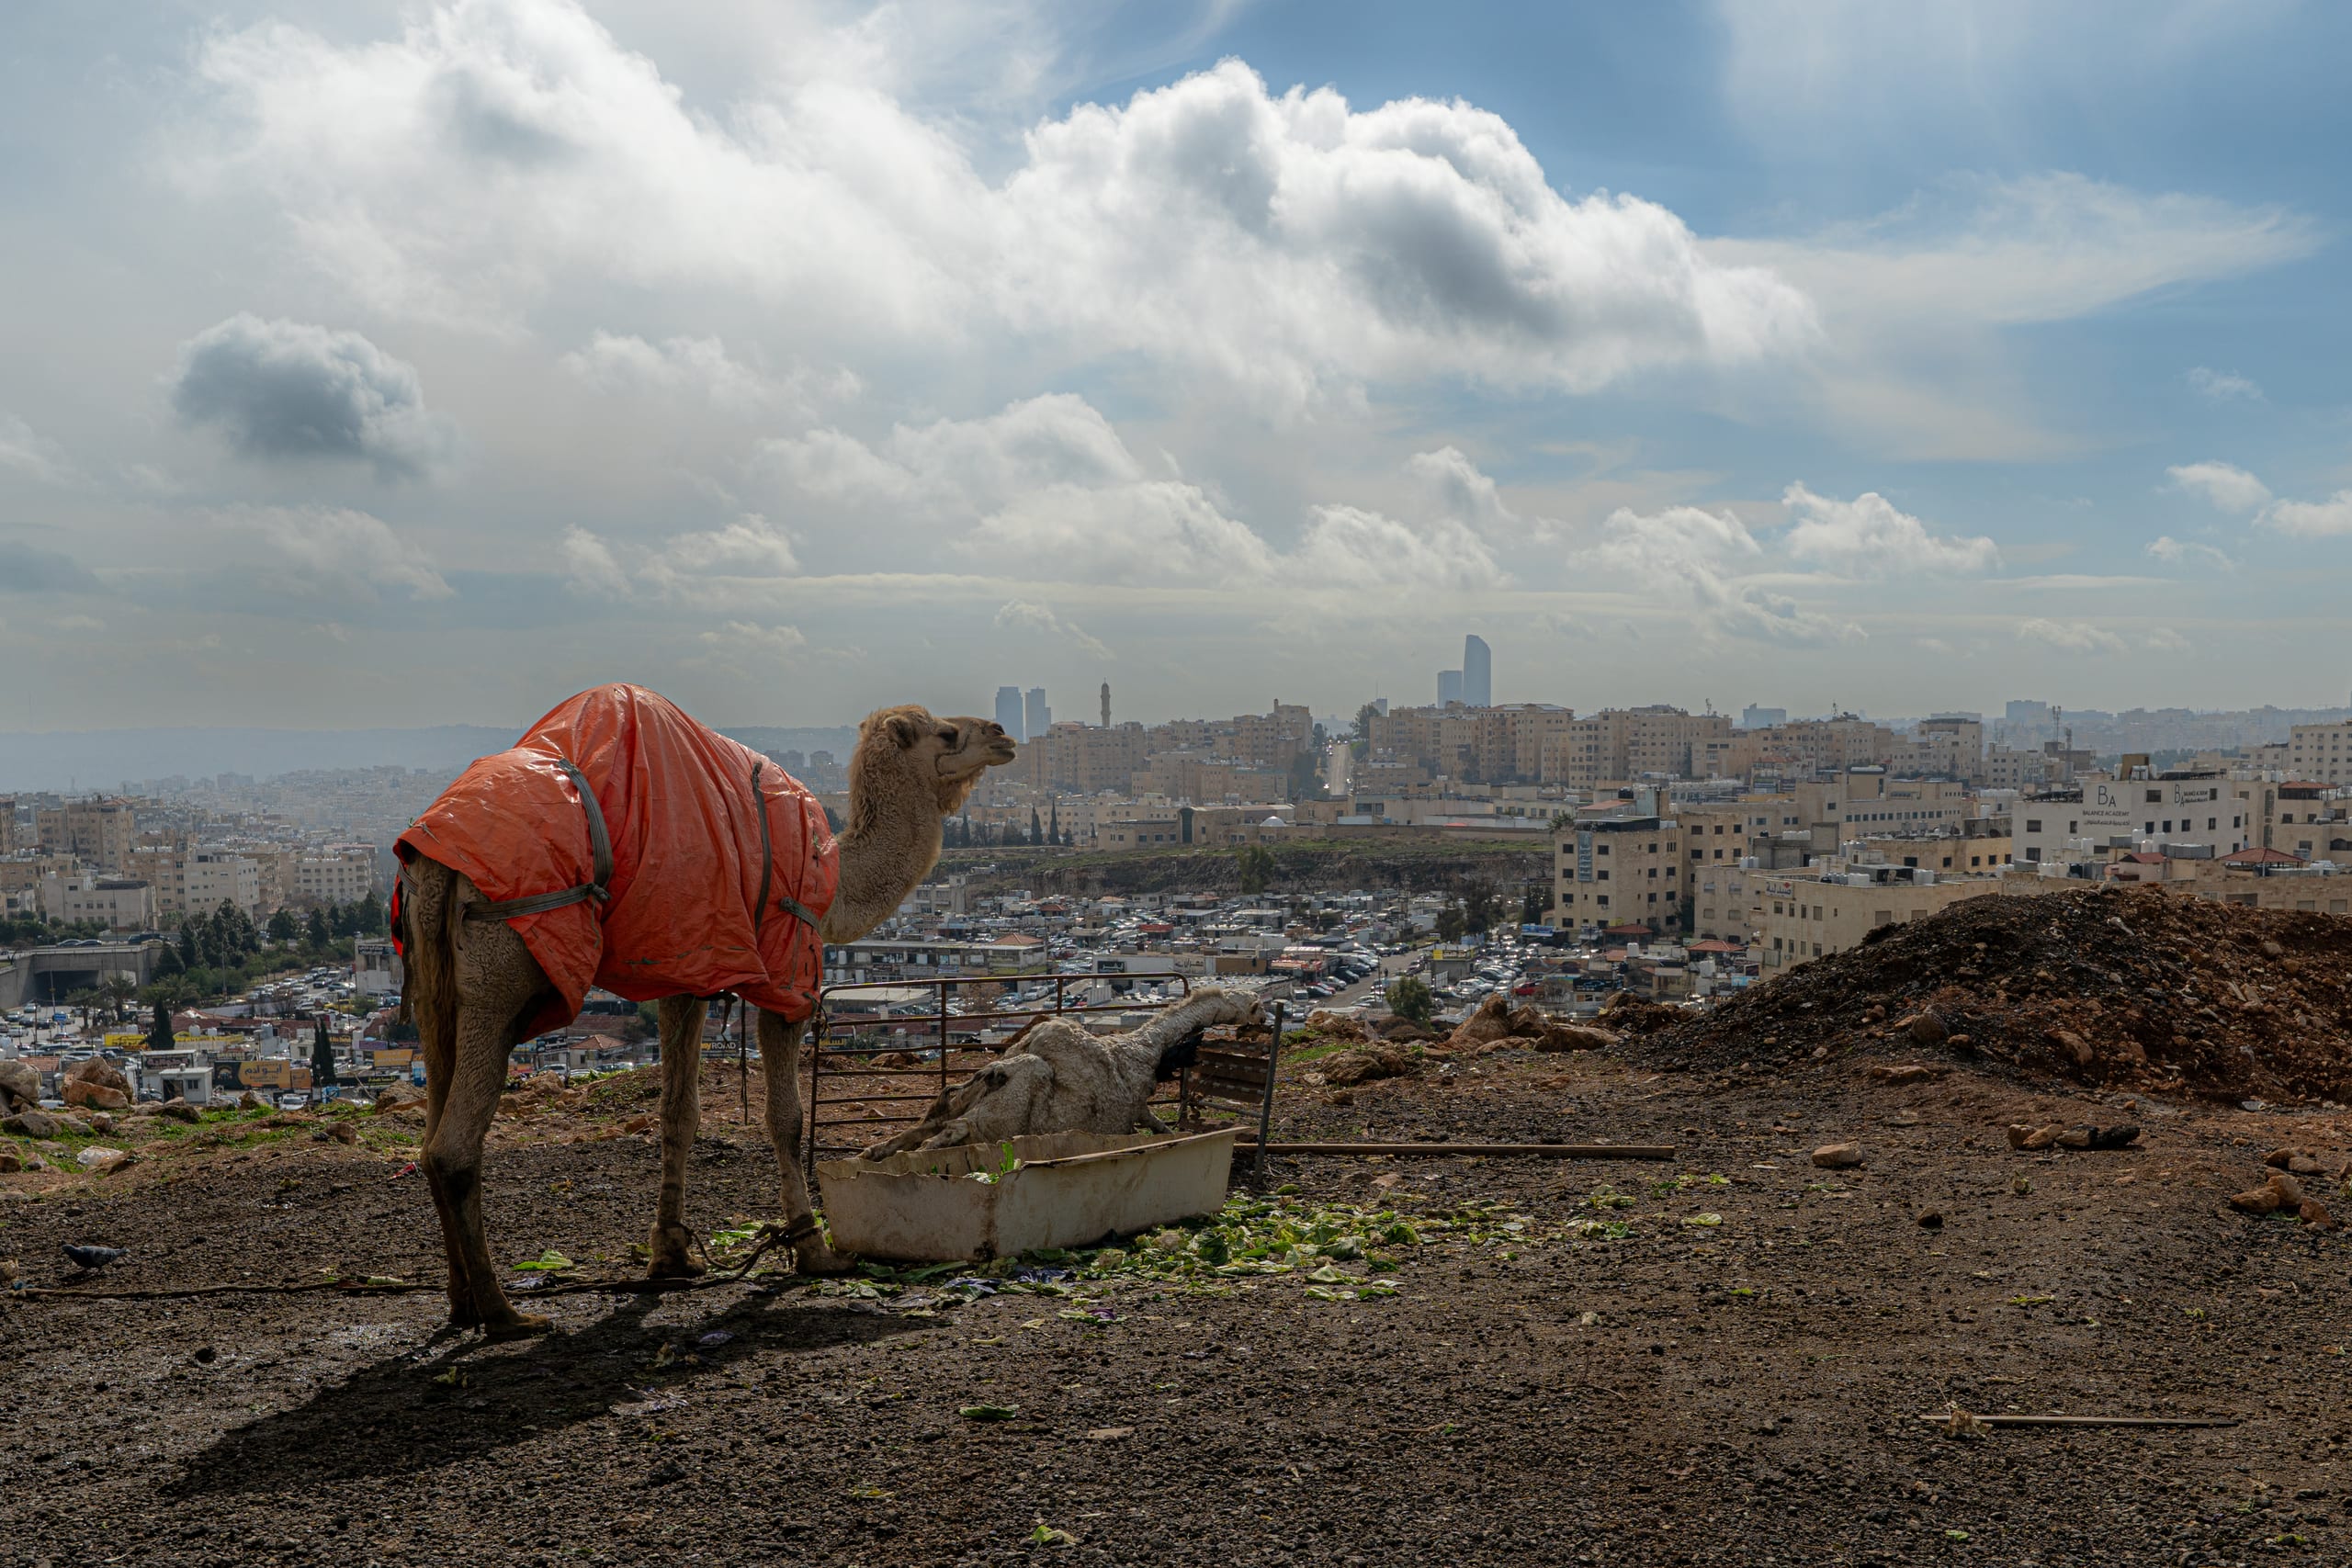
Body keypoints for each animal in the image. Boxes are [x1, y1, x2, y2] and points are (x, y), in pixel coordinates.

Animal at [396, 701, 1015, 1337]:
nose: (1003, 735)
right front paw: (814, 1251)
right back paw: (506, 1313)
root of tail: (437, 856)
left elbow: (678, 1113)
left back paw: (461, 1301)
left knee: (428, 1130)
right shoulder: (787, 968)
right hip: (503, 968)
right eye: (947, 732)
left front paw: (671, 1256)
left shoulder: (684, 967)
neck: (831, 874)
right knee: (453, 1146)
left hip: (433, 982)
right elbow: (786, 1119)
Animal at [859, 986, 1262, 1158]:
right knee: (942, 1136)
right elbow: (1160, 1128)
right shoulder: (1133, 1109)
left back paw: (872, 1154)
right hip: (989, 1119)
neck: (1146, 1047)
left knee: (918, 1130)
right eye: (1253, 1005)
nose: (1263, 1019)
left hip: (956, 1104)